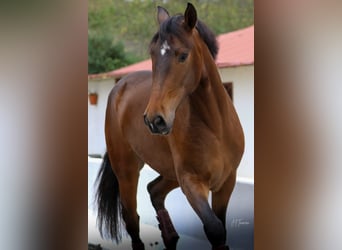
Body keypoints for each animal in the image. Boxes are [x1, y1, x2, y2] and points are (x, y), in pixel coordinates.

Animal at [95, 2, 244, 250]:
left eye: (183, 55)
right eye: (152, 54)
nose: (154, 120)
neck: (215, 127)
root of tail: (119, 87)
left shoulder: (226, 183)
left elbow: (220, 230)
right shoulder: (192, 183)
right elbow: (215, 229)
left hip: (170, 174)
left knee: (154, 191)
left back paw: (170, 235)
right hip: (127, 172)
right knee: (132, 220)